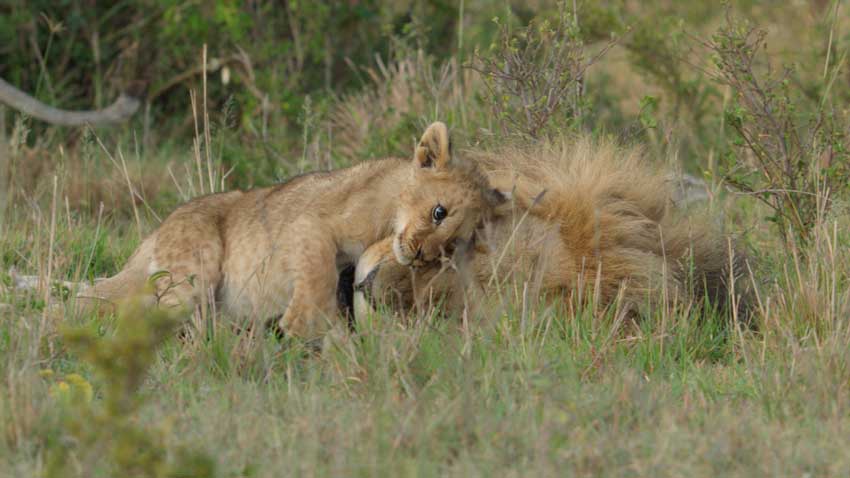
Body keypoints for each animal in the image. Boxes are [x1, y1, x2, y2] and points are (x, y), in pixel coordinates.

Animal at [76, 122, 507, 339]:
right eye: (438, 212)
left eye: (452, 247)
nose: (420, 256)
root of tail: (158, 228)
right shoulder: (310, 224)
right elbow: (317, 272)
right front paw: (299, 324)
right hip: (192, 271)